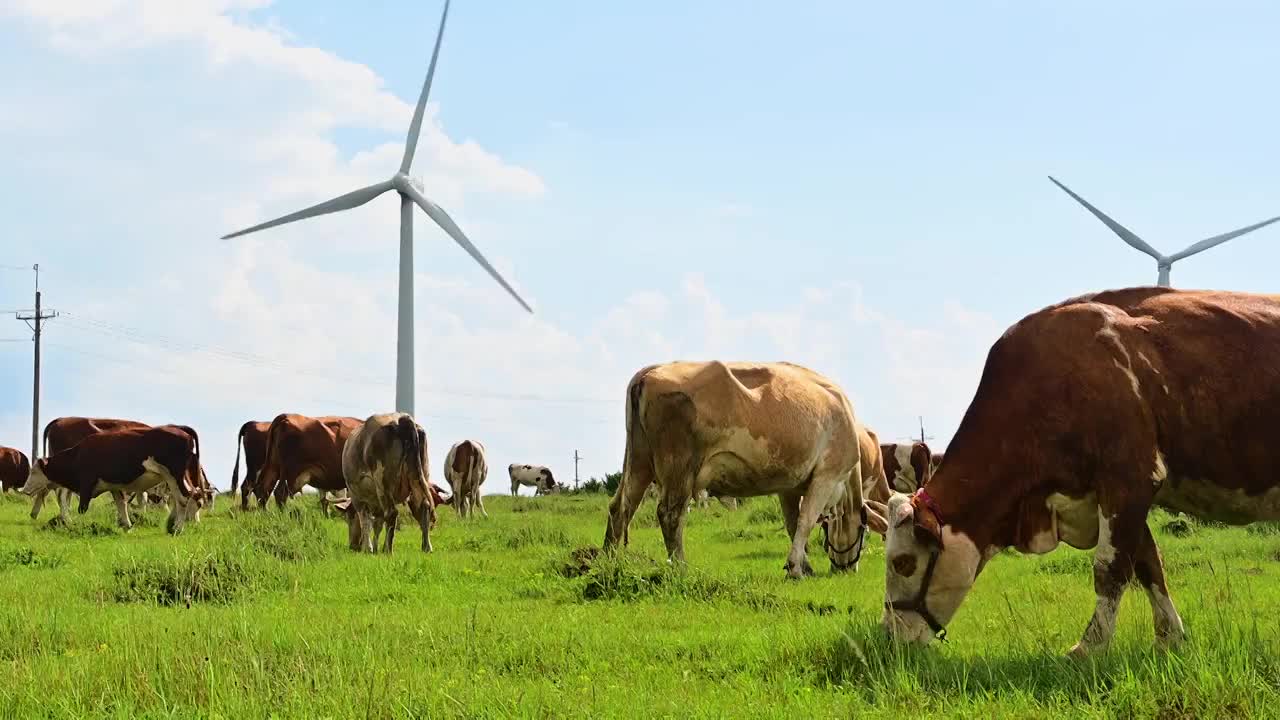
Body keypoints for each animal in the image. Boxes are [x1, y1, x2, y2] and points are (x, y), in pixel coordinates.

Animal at [23, 422, 207, 530]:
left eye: (33, 472)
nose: (24, 489)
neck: (78, 455)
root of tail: (180, 429)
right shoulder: (114, 486)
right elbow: (121, 504)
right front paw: (127, 525)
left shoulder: (86, 485)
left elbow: (82, 509)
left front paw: (78, 526)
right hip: (174, 478)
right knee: (187, 496)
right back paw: (173, 524)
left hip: (175, 475)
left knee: (184, 498)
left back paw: (177, 528)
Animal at [335, 412, 435, 550]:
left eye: (348, 518)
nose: (353, 545)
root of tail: (402, 417)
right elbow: (378, 524)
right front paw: (376, 547)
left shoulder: (357, 496)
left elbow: (365, 520)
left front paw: (369, 548)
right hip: (419, 477)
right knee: (423, 507)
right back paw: (426, 547)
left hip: (383, 482)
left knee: (392, 512)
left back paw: (388, 550)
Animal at [601, 358, 885, 576]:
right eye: (864, 532)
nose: (847, 569)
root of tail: (649, 372)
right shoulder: (827, 475)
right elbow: (805, 521)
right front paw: (795, 568)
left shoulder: (789, 485)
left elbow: (792, 524)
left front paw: (805, 565)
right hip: (678, 466)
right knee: (670, 514)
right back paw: (680, 567)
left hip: (639, 462)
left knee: (620, 507)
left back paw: (608, 562)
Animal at [875, 286, 1280, 655]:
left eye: (902, 562)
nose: (889, 635)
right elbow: (1149, 564)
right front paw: (1169, 638)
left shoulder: (1130, 478)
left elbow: (1110, 569)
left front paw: (1090, 647)